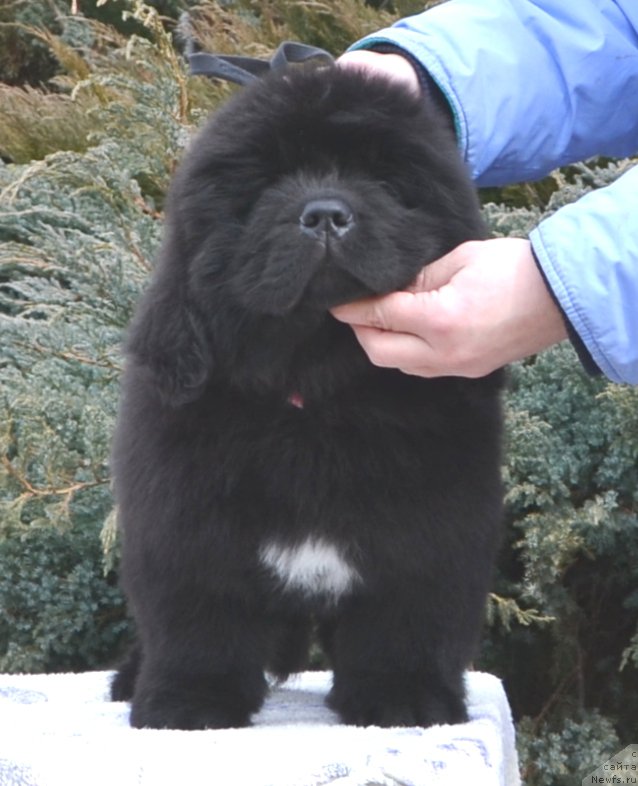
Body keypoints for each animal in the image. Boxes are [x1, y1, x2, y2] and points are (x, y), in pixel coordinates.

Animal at [112, 59, 508, 728]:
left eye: (383, 180)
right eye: (267, 185)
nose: (325, 213)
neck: (314, 392)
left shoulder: (430, 535)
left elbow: (405, 622)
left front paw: (405, 699)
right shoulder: (185, 527)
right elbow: (199, 622)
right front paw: (189, 704)